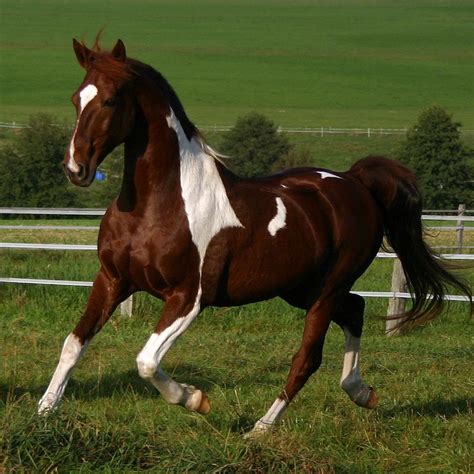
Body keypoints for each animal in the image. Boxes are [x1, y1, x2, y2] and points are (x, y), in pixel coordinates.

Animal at [38, 39, 470, 436]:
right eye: (77, 98)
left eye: (110, 101)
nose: (75, 168)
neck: (158, 202)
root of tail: (355, 182)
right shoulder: (112, 279)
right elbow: (73, 343)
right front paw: (44, 412)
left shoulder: (188, 298)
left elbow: (146, 361)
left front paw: (195, 399)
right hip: (300, 288)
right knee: (356, 309)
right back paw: (362, 393)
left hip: (327, 289)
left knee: (308, 357)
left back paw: (260, 429)